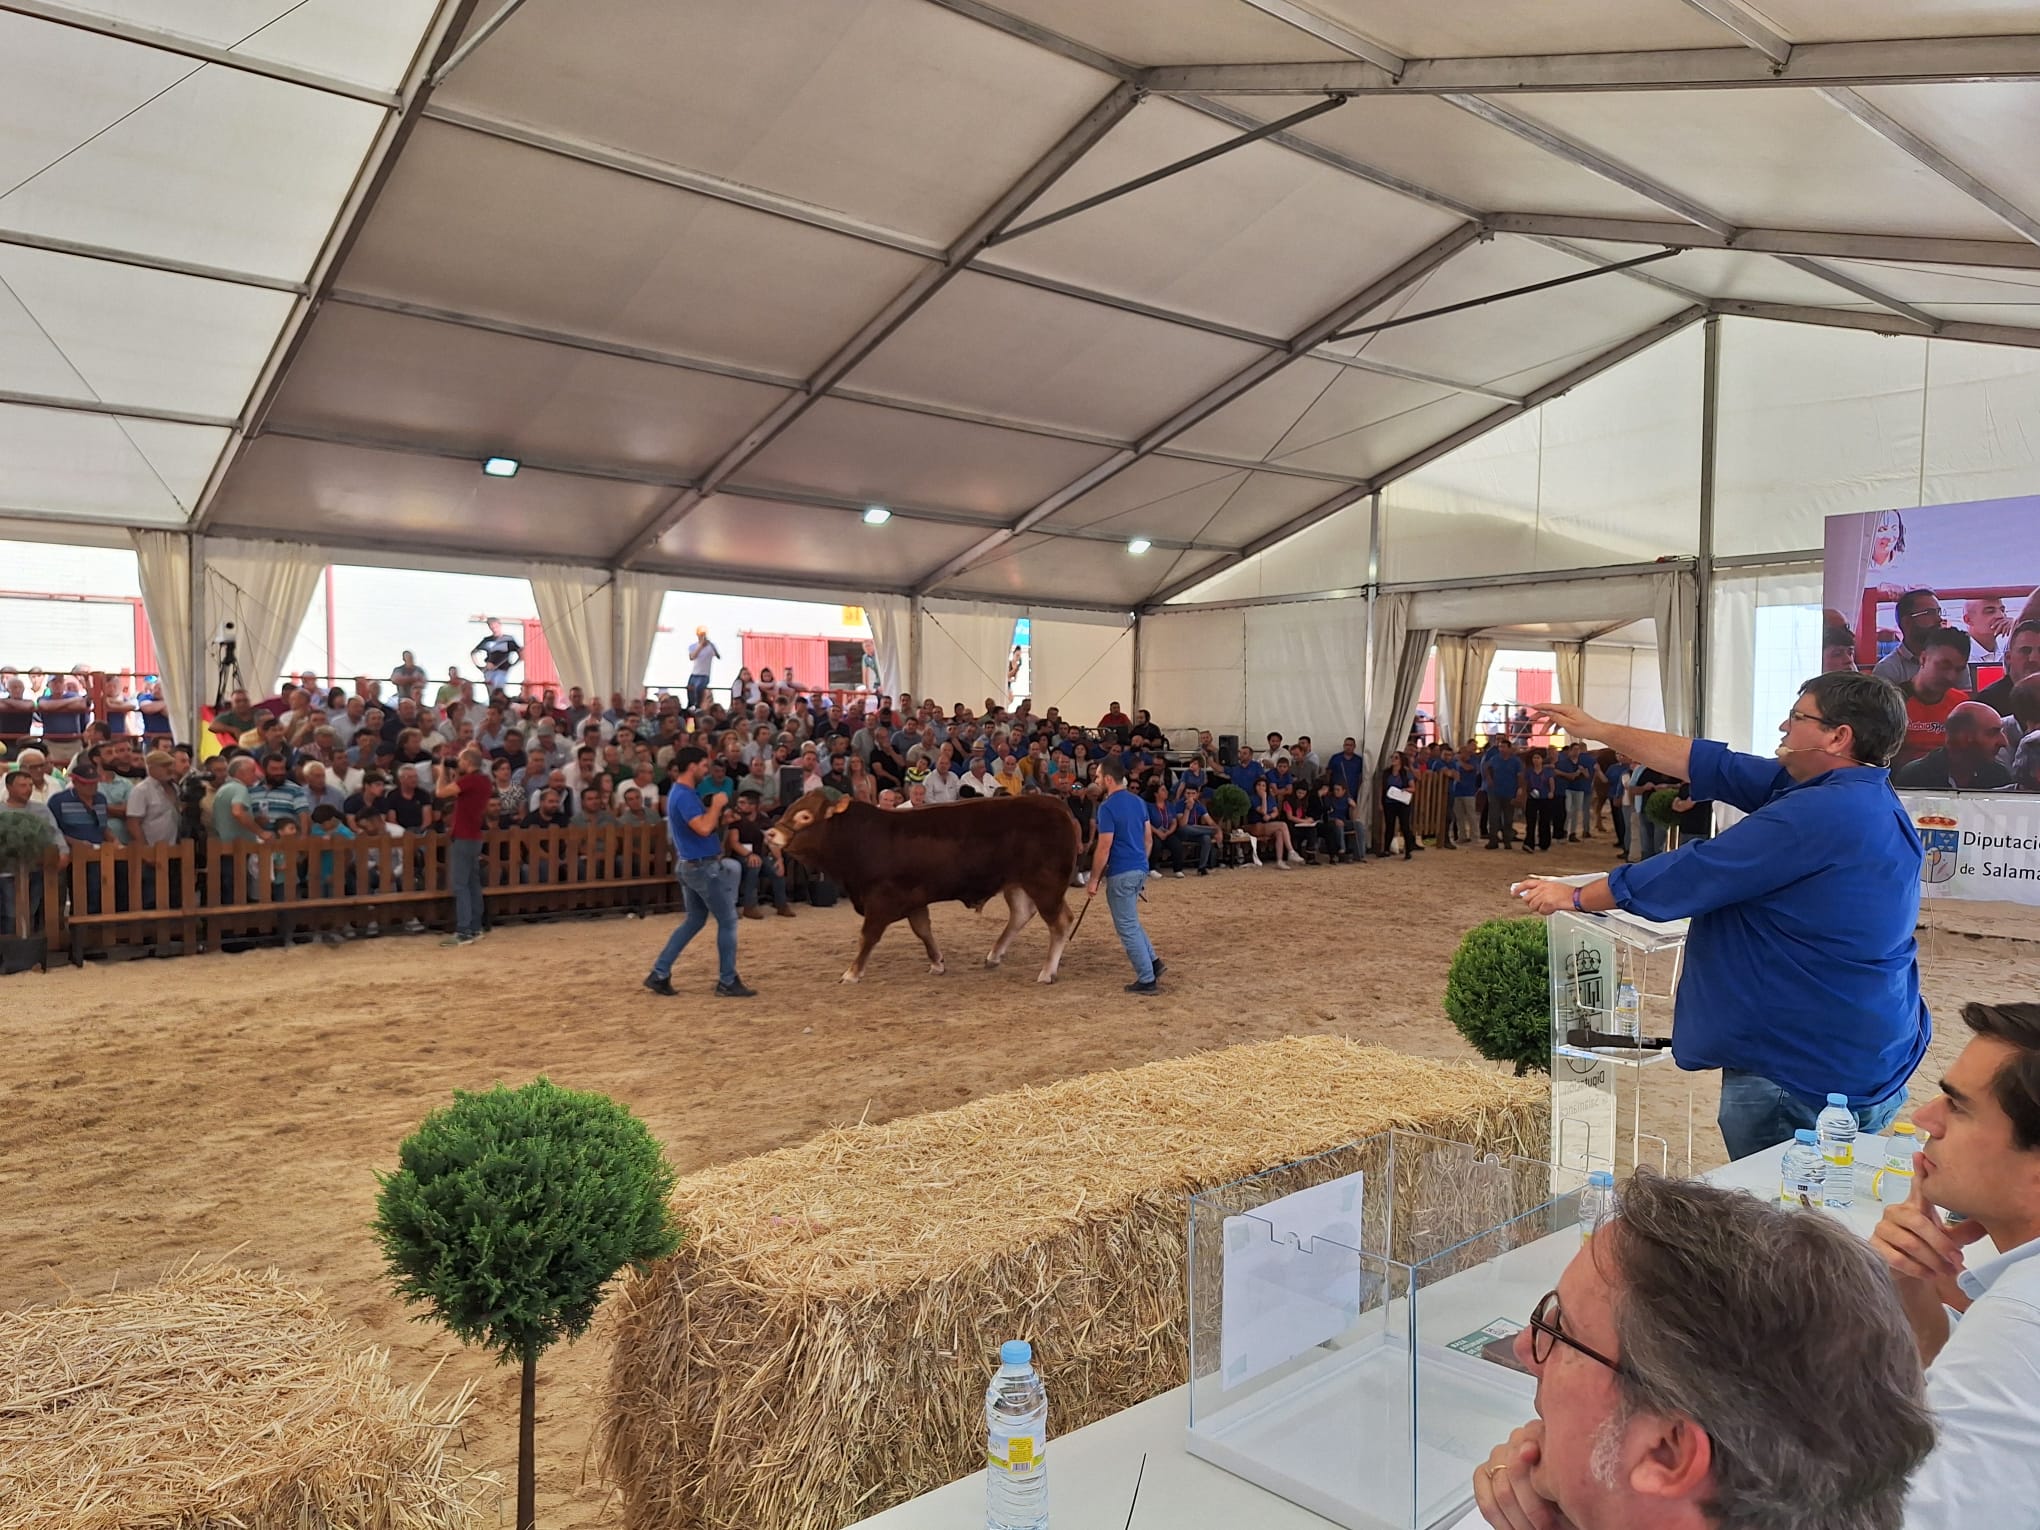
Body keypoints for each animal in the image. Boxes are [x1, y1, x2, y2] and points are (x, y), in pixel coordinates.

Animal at [767, 791, 1085, 983]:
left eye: (805, 816)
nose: (770, 833)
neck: (859, 837)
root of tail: (1054, 803)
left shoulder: (881, 899)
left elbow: (868, 936)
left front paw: (852, 973)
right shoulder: (914, 899)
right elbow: (923, 930)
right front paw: (937, 963)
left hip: (1045, 884)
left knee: (1059, 922)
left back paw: (1046, 971)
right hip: (1018, 883)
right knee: (1021, 914)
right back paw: (994, 956)